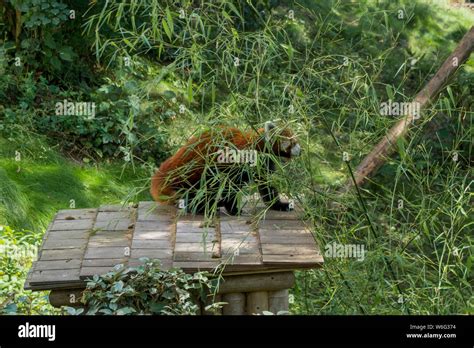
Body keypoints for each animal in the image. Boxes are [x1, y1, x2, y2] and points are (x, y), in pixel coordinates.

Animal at [150, 122, 302, 215]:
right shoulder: (236, 163)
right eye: (293, 142)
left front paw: (278, 204)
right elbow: (230, 187)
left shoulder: (263, 164)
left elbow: (266, 185)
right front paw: (234, 209)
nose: (301, 150)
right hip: (193, 171)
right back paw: (202, 205)